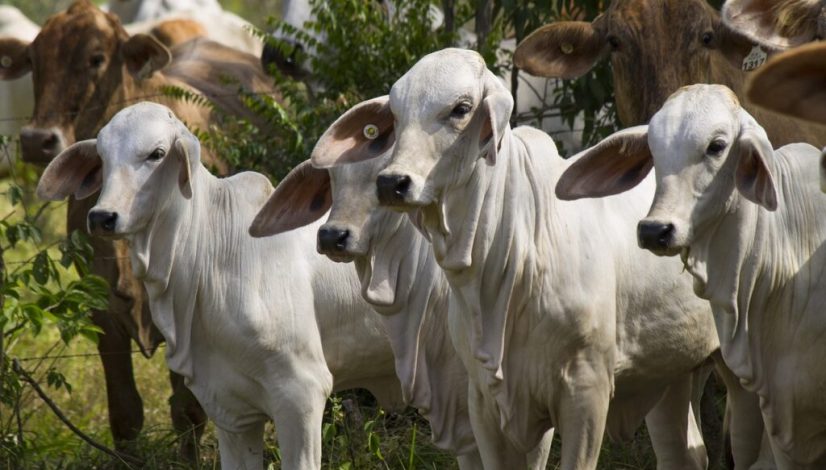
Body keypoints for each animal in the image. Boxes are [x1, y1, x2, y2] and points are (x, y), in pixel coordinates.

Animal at [0, 0, 275, 459]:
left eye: (97, 58)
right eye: (35, 60)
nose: (38, 140)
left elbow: (187, 411)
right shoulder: (103, 314)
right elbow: (126, 415)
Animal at [314, 48, 730, 469]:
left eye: (461, 108)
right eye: (396, 115)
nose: (392, 183)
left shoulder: (586, 391)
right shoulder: (485, 401)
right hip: (672, 371)